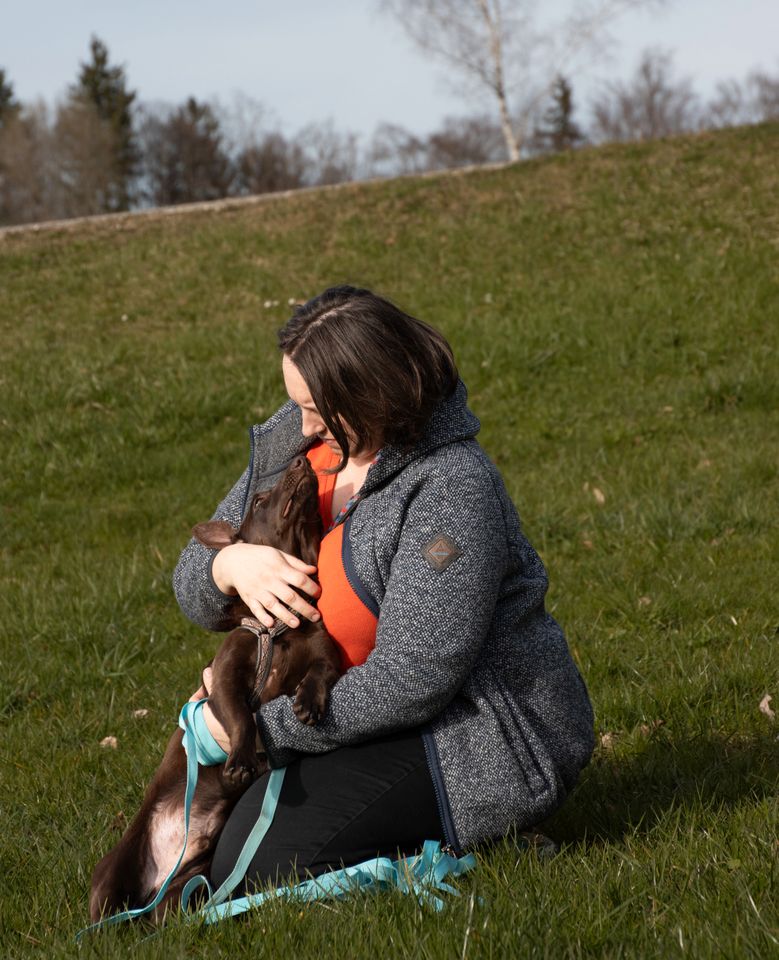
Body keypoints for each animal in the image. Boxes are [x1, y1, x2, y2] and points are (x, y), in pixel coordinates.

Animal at [90, 458, 340, 924]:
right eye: (258, 500)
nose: (301, 461)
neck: (279, 626)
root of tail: (158, 878)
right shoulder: (224, 679)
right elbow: (241, 716)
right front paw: (241, 760)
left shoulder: (325, 656)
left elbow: (318, 674)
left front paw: (309, 702)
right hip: (111, 873)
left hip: (190, 883)